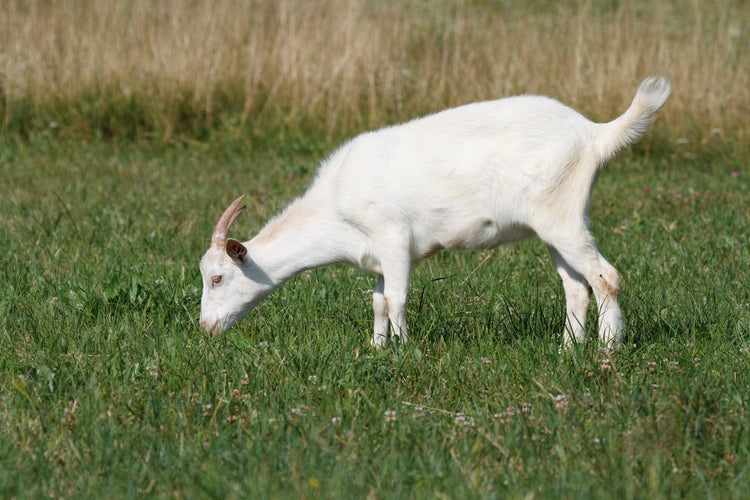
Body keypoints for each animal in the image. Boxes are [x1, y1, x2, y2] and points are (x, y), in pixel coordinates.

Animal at [199, 76, 671, 349]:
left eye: (218, 277)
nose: (205, 328)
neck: (333, 205)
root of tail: (595, 134)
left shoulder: (393, 239)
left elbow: (396, 298)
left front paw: (405, 353)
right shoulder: (376, 256)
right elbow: (377, 302)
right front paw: (377, 350)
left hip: (563, 218)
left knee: (607, 278)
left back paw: (608, 352)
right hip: (558, 226)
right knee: (576, 288)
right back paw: (567, 350)